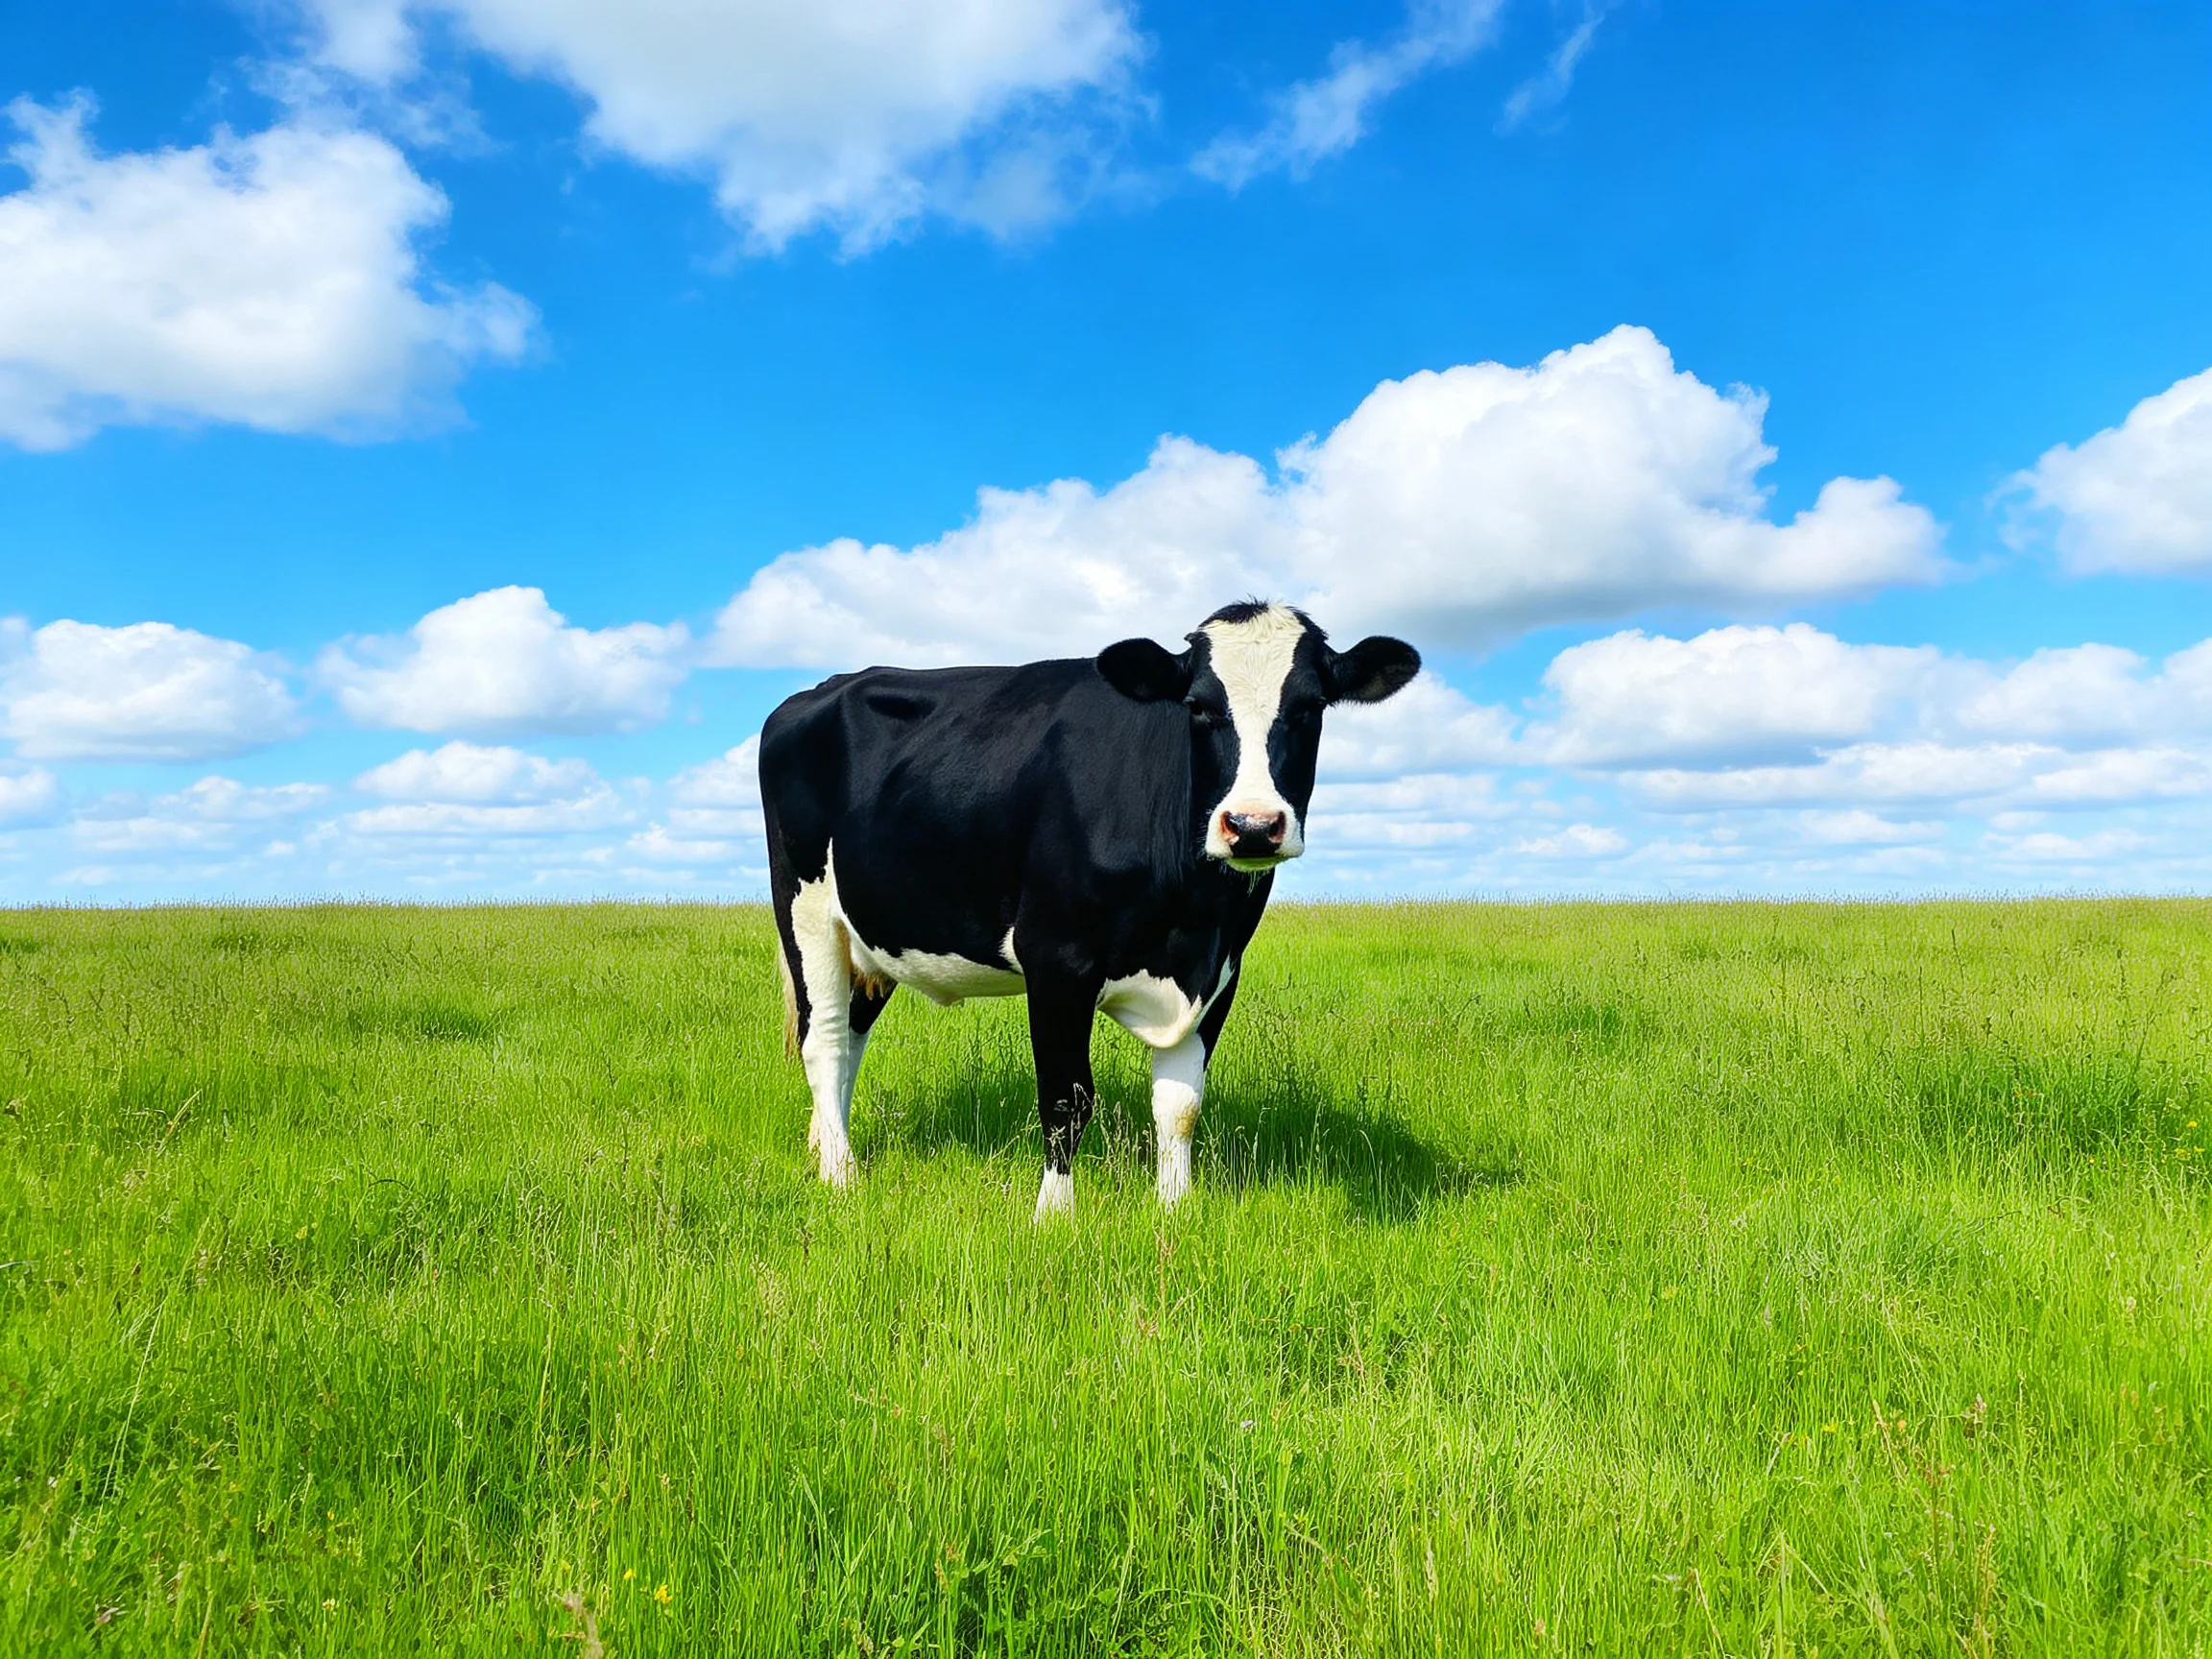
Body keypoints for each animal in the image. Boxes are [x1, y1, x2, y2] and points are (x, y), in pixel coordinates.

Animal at [758, 601, 1420, 1219]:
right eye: (1199, 707)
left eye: (1311, 707)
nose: (1253, 826)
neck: (1192, 919)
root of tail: (820, 689)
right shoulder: (1056, 958)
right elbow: (1066, 1096)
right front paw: (1053, 1216)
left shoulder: (1221, 971)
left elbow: (1180, 1105)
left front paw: (1175, 1209)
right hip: (806, 912)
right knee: (825, 1040)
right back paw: (841, 1176)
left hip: (869, 933)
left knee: (851, 1038)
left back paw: (825, 1147)